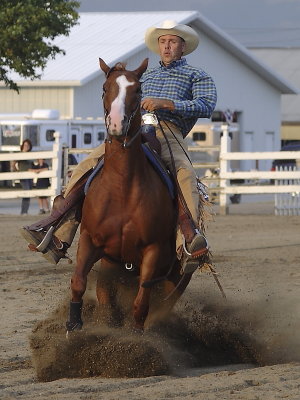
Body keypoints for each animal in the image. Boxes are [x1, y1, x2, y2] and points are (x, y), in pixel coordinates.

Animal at [66, 57, 192, 332]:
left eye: (138, 90)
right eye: (105, 88)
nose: (116, 123)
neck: (121, 188)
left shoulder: (153, 250)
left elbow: (141, 304)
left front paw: (135, 335)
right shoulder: (90, 239)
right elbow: (78, 282)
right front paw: (73, 325)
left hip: (177, 278)